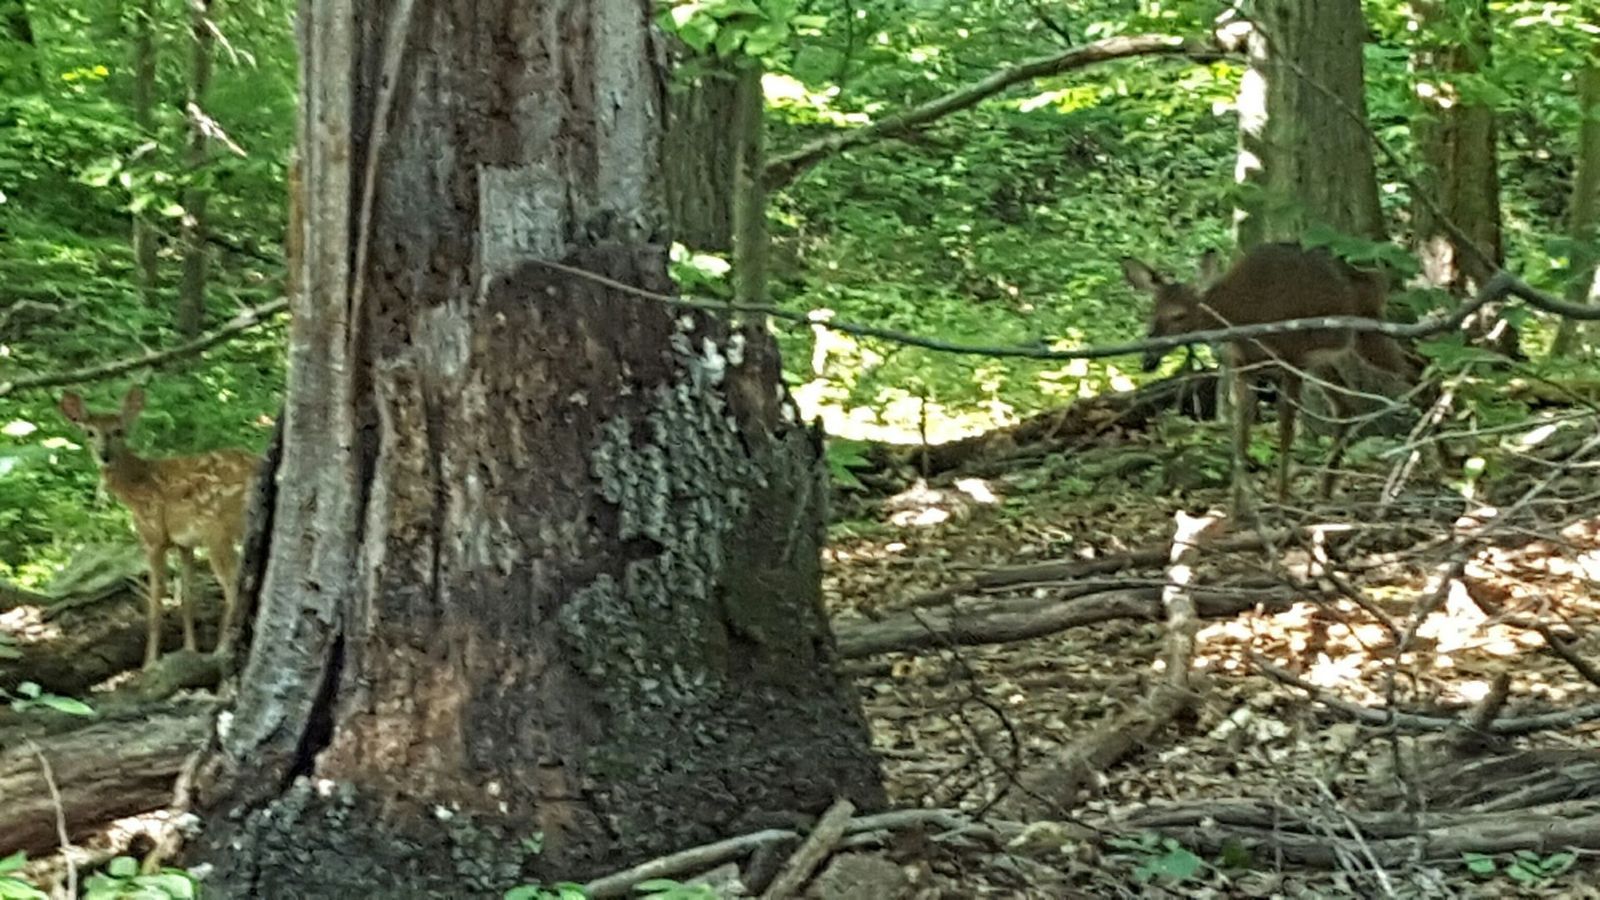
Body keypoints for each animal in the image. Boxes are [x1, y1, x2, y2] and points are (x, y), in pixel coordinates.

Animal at [59, 386, 260, 669]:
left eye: (118, 431)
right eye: (90, 432)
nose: (104, 455)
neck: (136, 487)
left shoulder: (153, 537)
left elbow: (155, 602)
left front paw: (150, 664)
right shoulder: (185, 543)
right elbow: (187, 600)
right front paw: (189, 651)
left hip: (218, 530)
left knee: (233, 589)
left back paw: (222, 651)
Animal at [1121, 242, 1422, 511]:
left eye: (1179, 316)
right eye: (1152, 314)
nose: (1148, 360)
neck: (1237, 318)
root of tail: (1377, 279)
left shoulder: (1290, 358)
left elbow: (1285, 432)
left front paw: (1281, 498)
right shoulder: (1244, 370)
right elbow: (1242, 436)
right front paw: (1237, 510)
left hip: (1366, 335)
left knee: (1416, 371)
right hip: (1325, 359)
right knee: (1346, 406)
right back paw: (1325, 491)